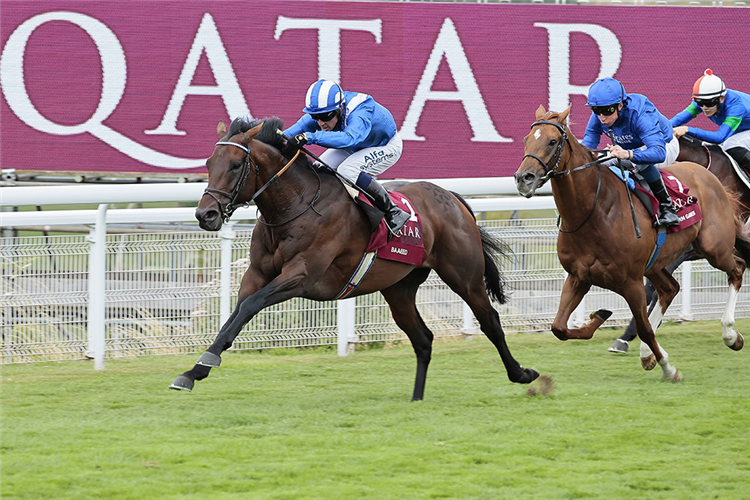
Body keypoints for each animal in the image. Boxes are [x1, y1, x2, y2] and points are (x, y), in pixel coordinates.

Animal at [169, 116, 540, 398]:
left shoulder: (301, 276)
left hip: (464, 276)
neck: (295, 204)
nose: (205, 215)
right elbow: (234, 316)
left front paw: (202, 364)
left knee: (490, 321)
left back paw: (522, 374)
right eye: (208, 164)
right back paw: (416, 397)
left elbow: (249, 307)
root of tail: (450, 195)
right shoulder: (256, 274)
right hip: (399, 288)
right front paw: (193, 371)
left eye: (235, 165)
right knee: (423, 340)